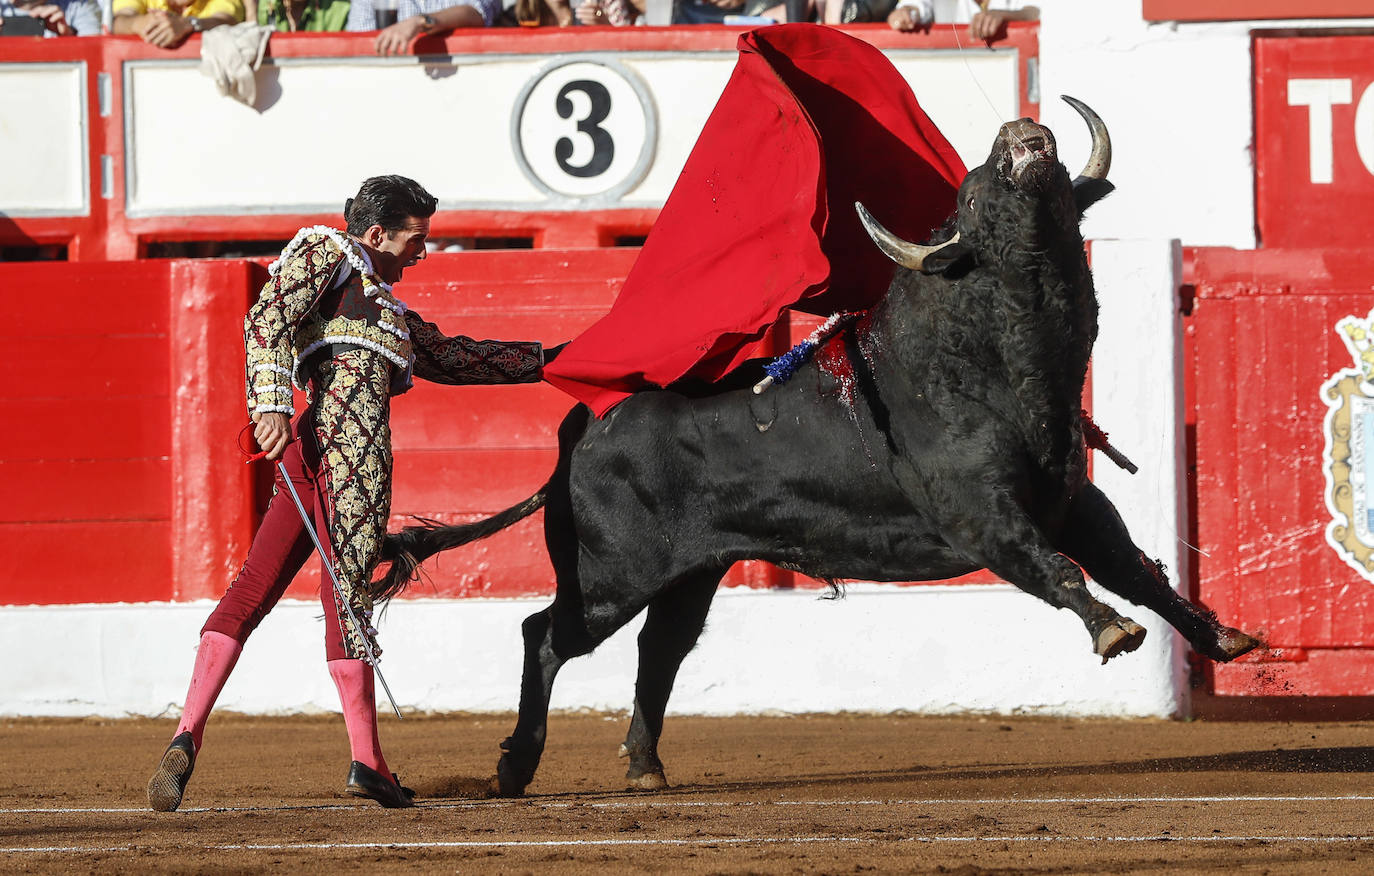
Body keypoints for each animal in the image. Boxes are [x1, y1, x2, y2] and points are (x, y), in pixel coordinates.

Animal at [373, 99, 1258, 801]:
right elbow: (1061, 572)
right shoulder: (986, 520)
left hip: (692, 573)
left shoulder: (1073, 502)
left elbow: (1138, 569)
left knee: (659, 648)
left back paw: (644, 766)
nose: (1020, 131)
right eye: (978, 192)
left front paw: (1225, 638)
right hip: (610, 574)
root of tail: (586, 423)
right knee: (548, 636)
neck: (1000, 368)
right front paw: (1113, 633)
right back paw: (515, 768)